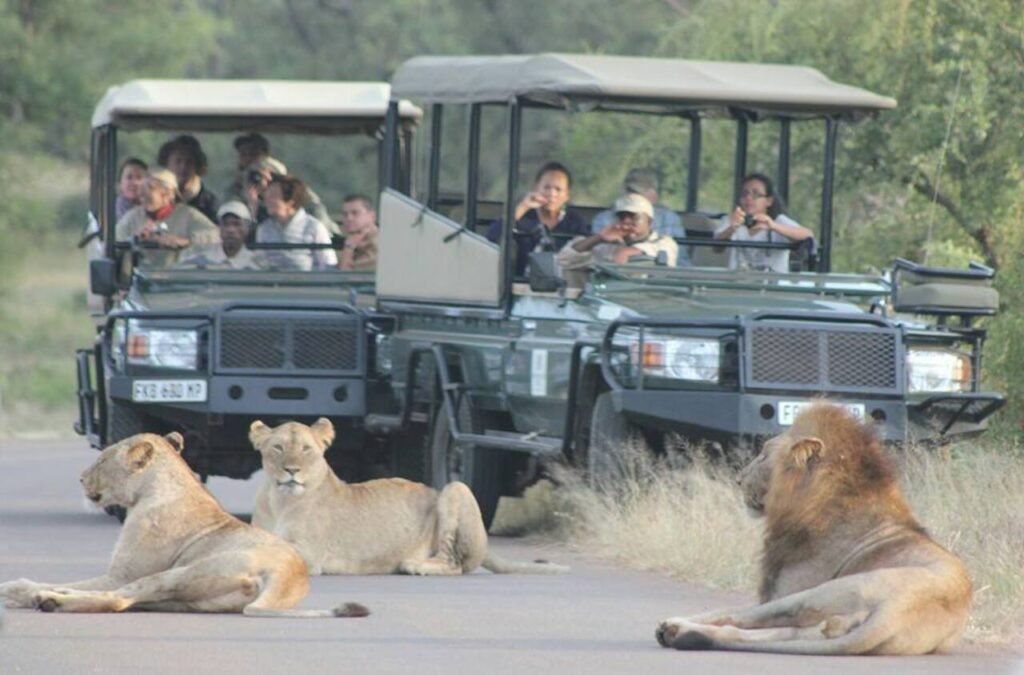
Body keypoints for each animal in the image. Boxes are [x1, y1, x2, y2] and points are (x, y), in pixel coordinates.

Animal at [0, 432, 368, 618]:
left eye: (102, 460)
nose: (80, 478)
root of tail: (291, 576)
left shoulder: (122, 573)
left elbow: (77, 582)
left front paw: (16, 587)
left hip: (180, 573)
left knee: (116, 599)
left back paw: (47, 599)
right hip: (185, 596)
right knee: (126, 599)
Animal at [247, 419, 569, 573]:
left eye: (306, 449)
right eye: (277, 448)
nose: (291, 470)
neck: (280, 501)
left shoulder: (311, 553)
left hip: (455, 488)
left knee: (454, 563)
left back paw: (415, 566)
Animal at [655, 403, 966, 655]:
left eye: (764, 455)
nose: (738, 479)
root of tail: (899, 610)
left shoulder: (782, 591)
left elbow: (733, 609)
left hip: (817, 593)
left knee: (742, 618)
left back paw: (674, 627)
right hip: (823, 621)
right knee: (784, 632)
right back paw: (678, 633)